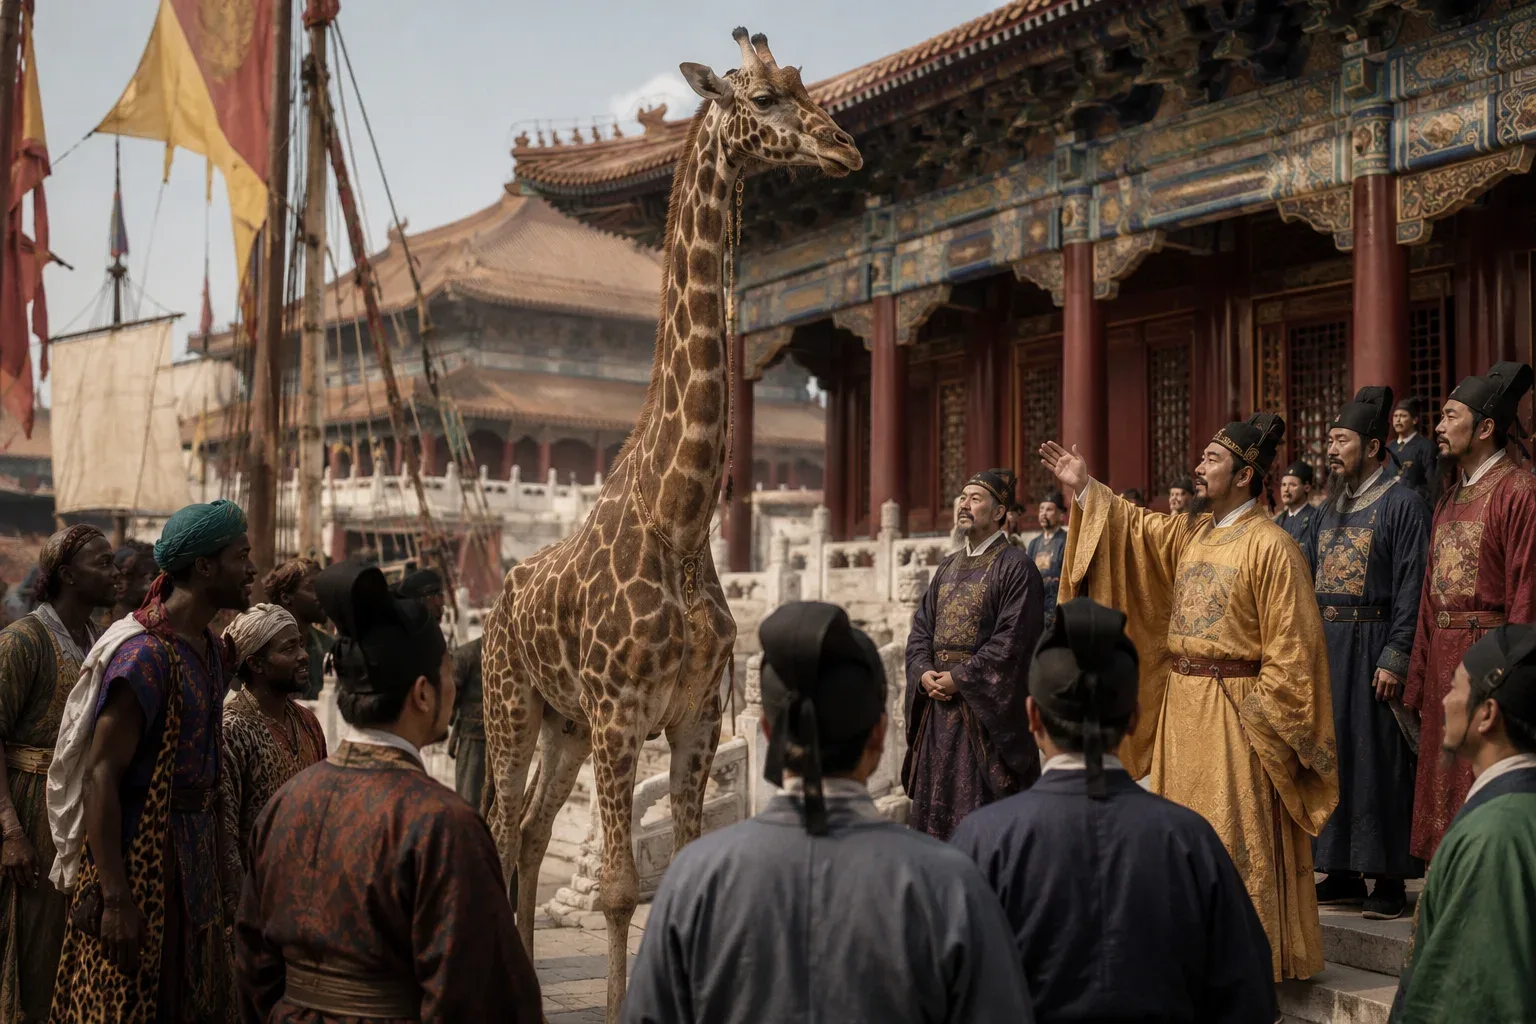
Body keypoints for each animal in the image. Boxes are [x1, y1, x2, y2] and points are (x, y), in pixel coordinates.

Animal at [479, 27, 862, 1021]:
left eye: (805, 84)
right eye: (762, 99)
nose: (844, 147)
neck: (683, 522)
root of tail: (498, 598)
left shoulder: (693, 717)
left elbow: (679, 870)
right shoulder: (623, 716)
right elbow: (619, 889)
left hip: (565, 725)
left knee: (531, 828)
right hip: (513, 705)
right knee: (498, 820)